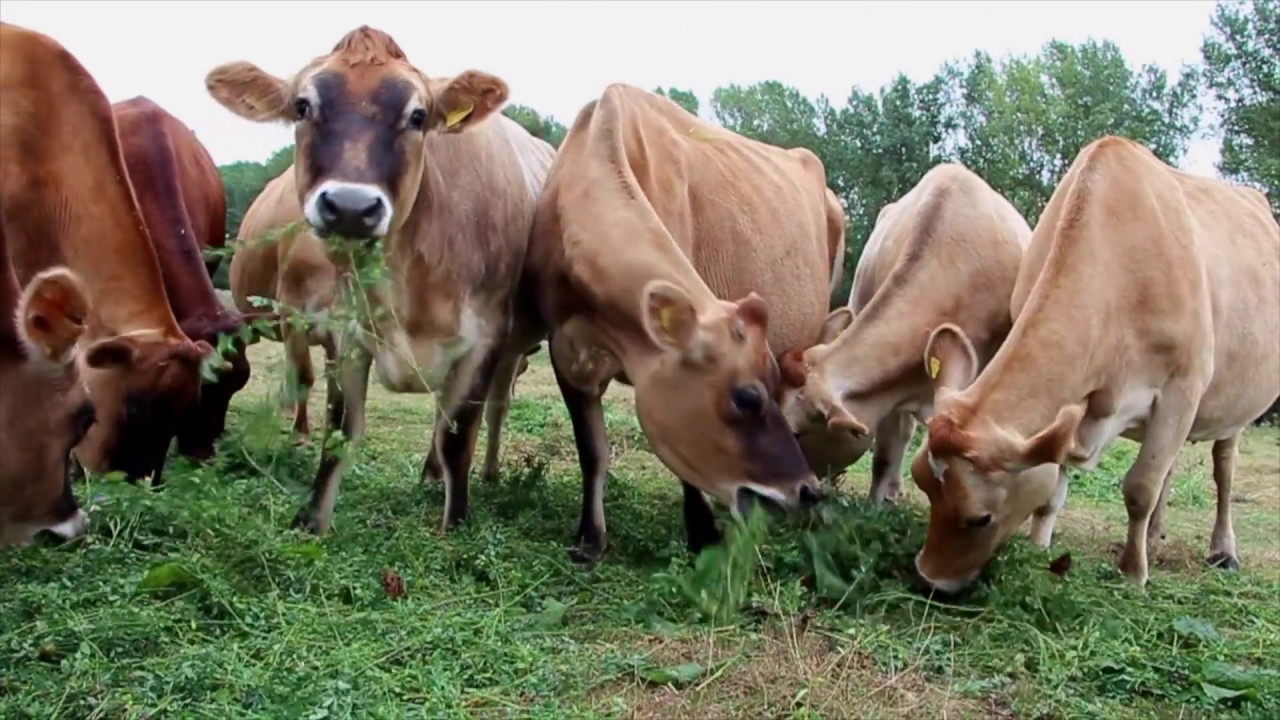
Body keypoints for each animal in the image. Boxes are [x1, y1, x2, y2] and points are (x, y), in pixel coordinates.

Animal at [204, 26, 556, 534]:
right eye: (302, 106)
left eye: (418, 115)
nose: (350, 206)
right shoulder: (345, 331)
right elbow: (340, 430)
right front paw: (311, 520)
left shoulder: (486, 341)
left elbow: (458, 436)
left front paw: (455, 527)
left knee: (487, 411)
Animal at [521, 84, 845, 562]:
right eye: (747, 397)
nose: (805, 490)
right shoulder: (565, 347)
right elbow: (592, 451)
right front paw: (589, 539)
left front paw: (702, 531)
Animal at [913, 135, 1280, 592]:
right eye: (921, 482)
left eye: (980, 518)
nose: (928, 579)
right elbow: (1054, 486)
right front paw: (1040, 547)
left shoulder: (1183, 386)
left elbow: (1140, 488)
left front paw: (1132, 574)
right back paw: (1155, 534)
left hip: (1233, 403)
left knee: (1224, 467)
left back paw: (1223, 550)